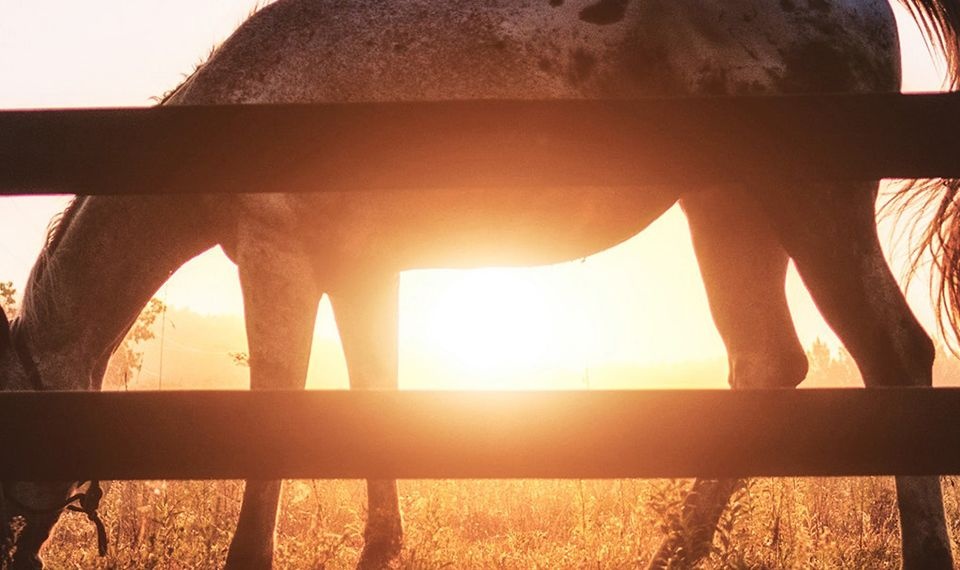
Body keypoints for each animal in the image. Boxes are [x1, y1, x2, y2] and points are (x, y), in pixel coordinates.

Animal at [2, 0, 959, 568]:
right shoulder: (362, 274)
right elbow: (373, 400)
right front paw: (382, 547)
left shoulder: (281, 265)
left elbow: (279, 416)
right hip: (726, 208)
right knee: (766, 365)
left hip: (812, 201)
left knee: (894, 357)